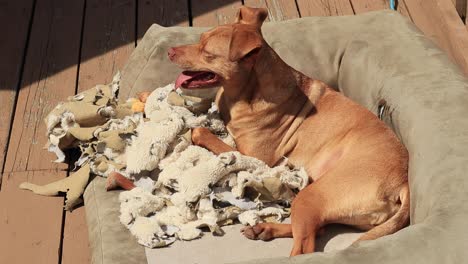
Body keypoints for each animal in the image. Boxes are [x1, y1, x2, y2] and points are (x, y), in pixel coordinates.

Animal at [167, 6, 406, 258]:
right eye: (200, 39)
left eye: (208, 53)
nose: (170, 51)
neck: (246, 93)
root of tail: (402, 185)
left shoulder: (255, 158)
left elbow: (200, 132)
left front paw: (193, 131)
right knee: (317, 229)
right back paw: (264, 229)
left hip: (312, 196)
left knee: (306, 246)